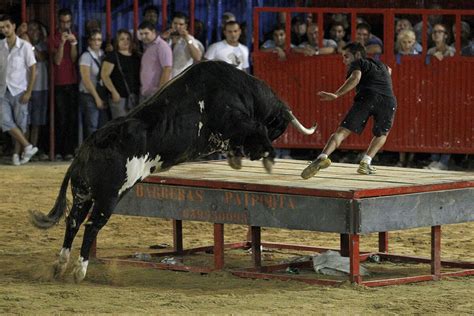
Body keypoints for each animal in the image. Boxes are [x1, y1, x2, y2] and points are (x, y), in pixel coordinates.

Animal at [31, 59, 316, 282]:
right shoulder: (236, 122)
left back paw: (60, 265)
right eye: (278, 127)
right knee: (91, 226)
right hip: (108, 197)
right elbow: (256, 133)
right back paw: (79, 270)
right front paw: (265, 156)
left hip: (83, 194)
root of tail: (89, 145)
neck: (241, 89)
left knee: (73, 221)